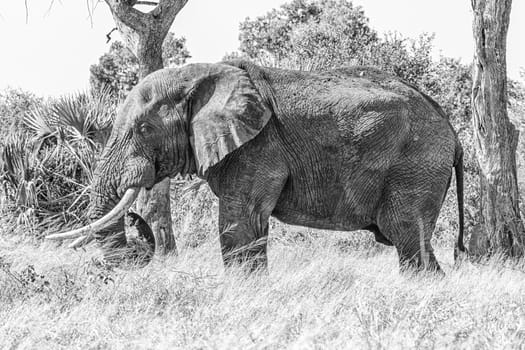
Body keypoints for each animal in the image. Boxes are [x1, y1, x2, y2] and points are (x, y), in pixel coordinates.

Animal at [47, 60, 464, 274]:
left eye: (144, 129)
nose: (135, 218)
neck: (202, 75)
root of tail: (452, 130)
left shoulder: (259, 147)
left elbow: (240, 221)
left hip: (417, 163)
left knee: (405, 234)